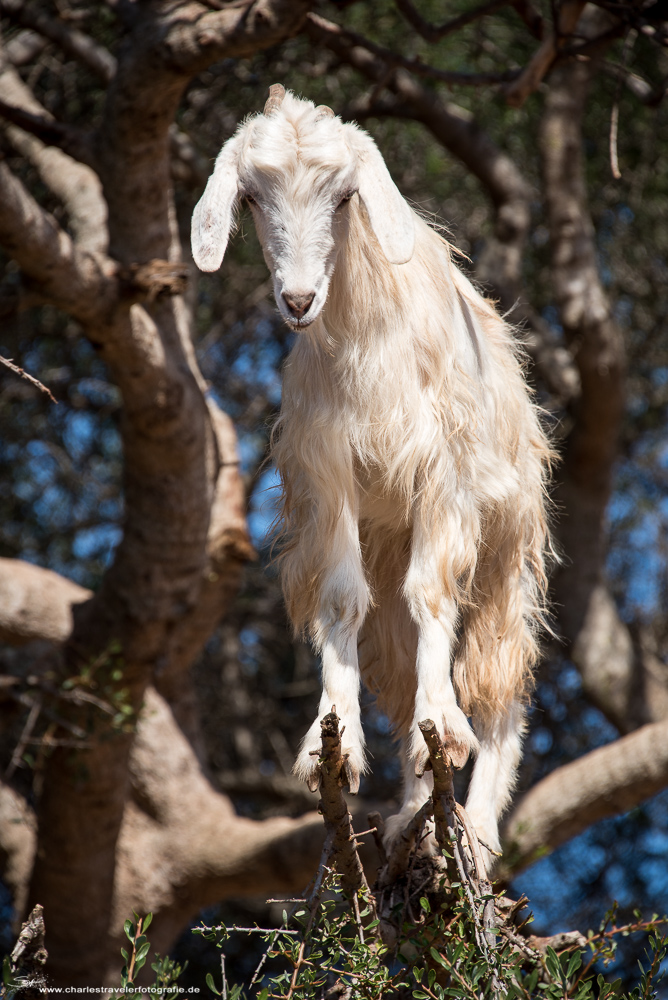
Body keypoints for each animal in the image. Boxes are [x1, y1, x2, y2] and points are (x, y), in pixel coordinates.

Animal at [190, 86, 552, 864]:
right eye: (253, 197)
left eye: (343, 194)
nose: (298, 300)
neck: (367, 341)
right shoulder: (328, 476)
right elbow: (340, 600)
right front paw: (334, 748)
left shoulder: (444, 474)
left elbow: (433, 595)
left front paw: (448, 729)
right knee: (400, 659)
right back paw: (415, 816)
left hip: (508, 549)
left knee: (499, 679)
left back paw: (476, 832)